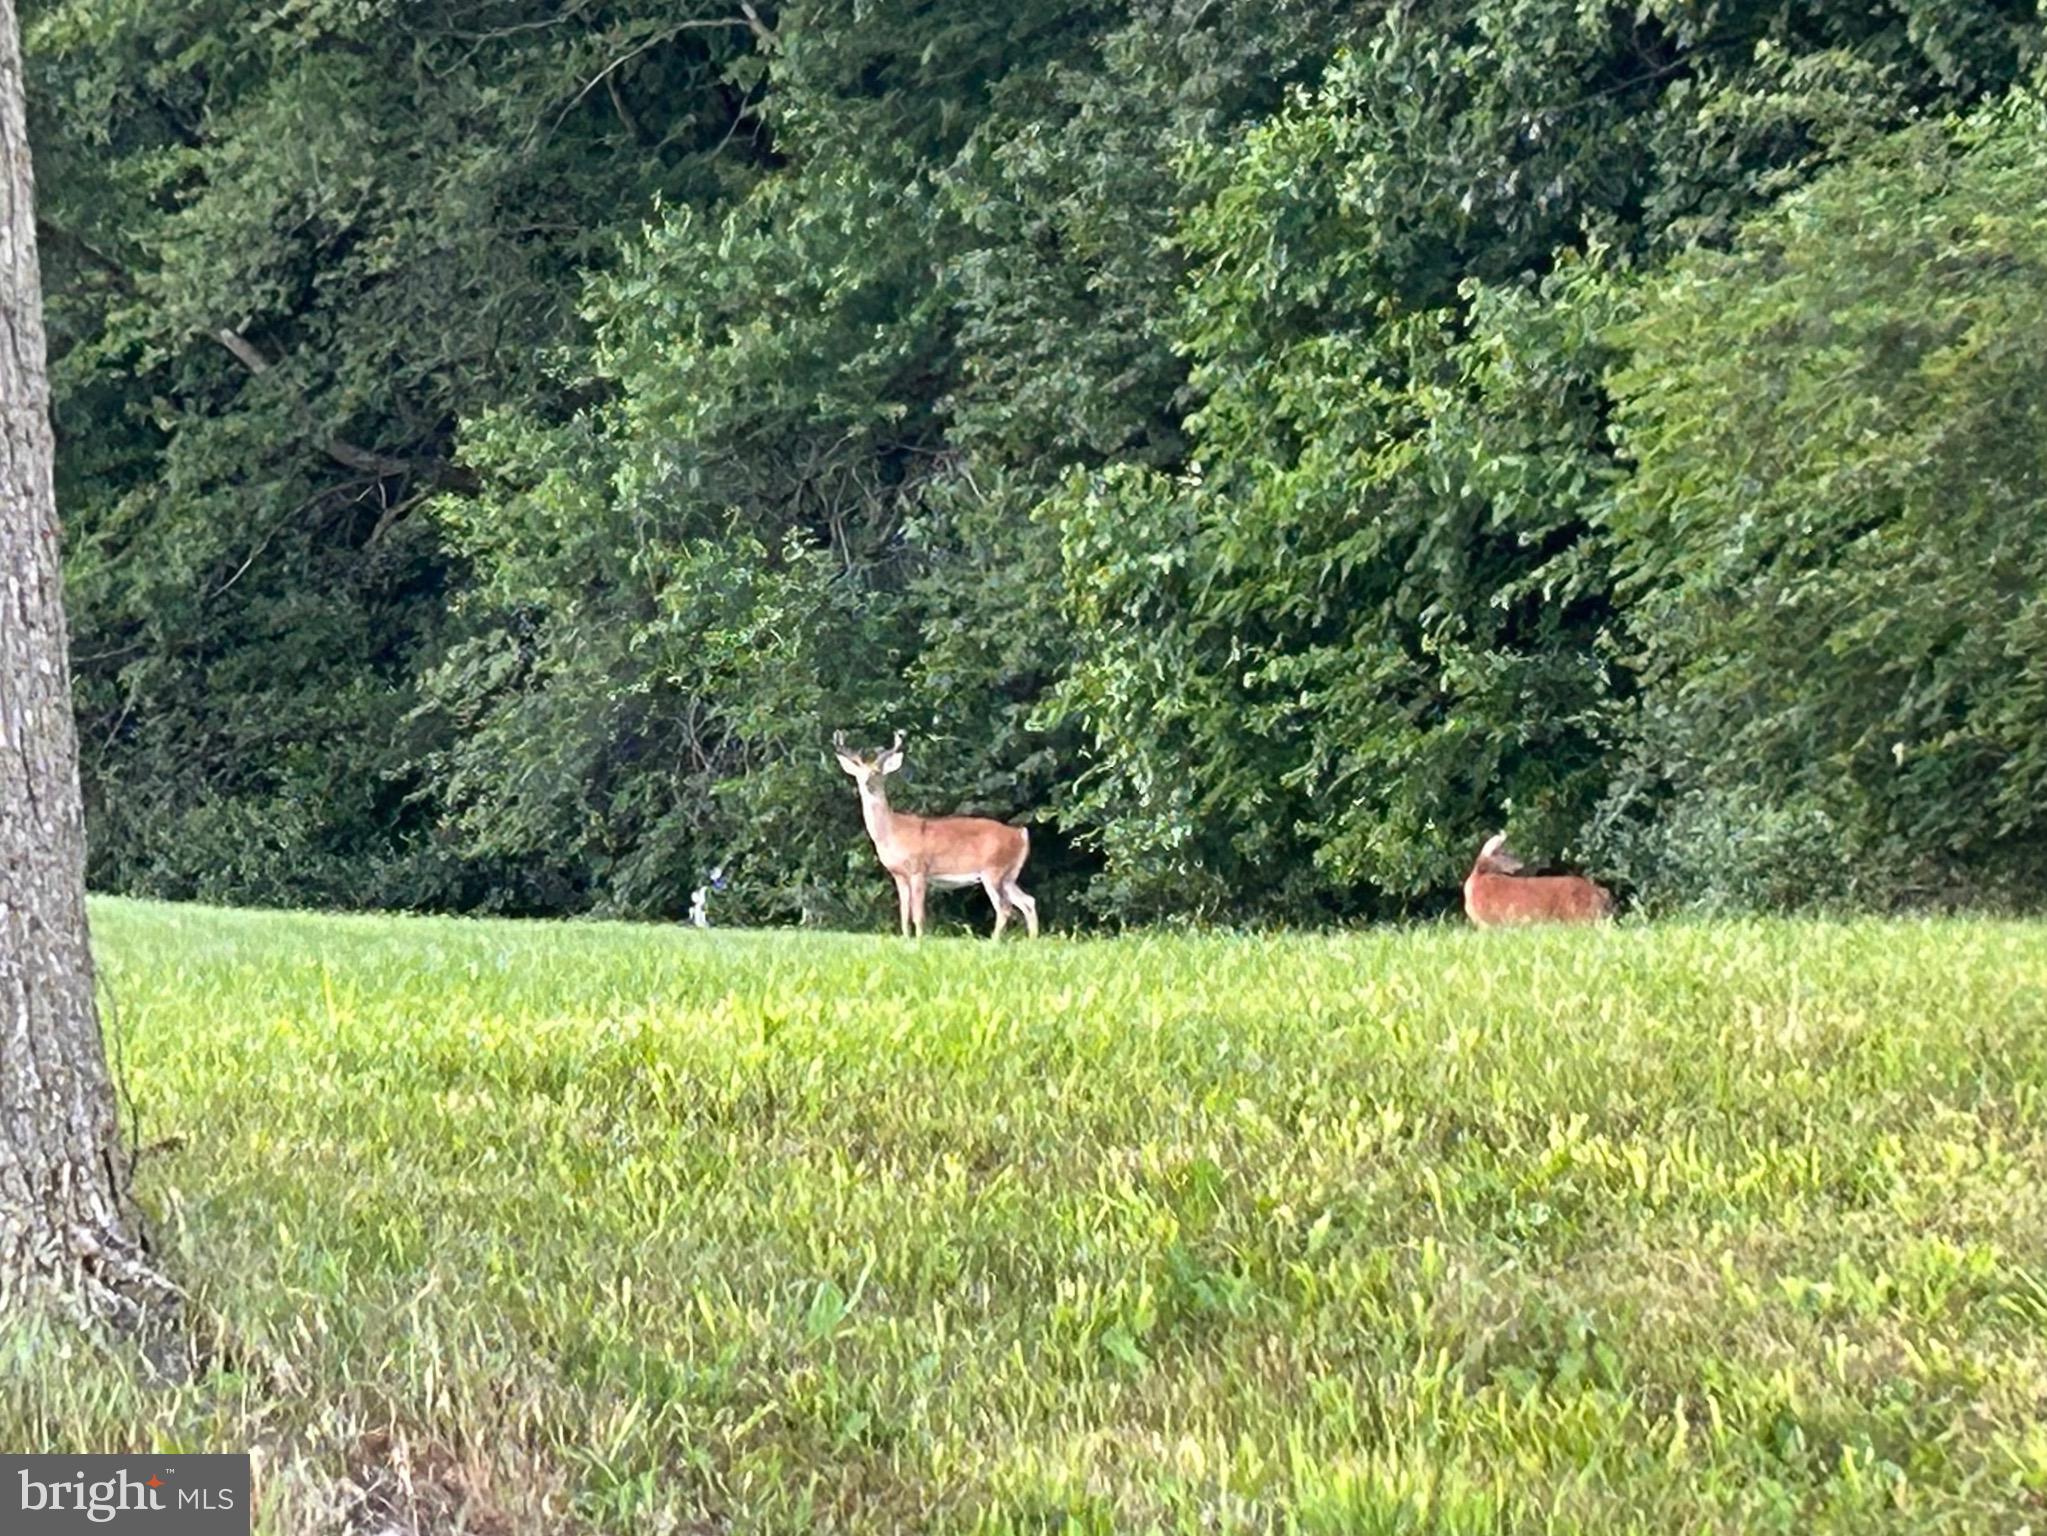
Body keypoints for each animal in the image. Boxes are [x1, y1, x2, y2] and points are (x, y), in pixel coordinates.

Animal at [833, 729, 1039, 939]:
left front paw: (919, 939)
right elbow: (903, 914)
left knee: (1005, 907)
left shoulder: (918, 869)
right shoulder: (898, 874)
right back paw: (1032, 939)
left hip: (993, 870)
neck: (892, 832)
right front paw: (906, 939)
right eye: (858, 773)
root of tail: (1020, 834)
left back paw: (994, 941)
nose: (867, 783)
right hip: (1008, 875)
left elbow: (917, 914)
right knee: (1028, 901)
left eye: (877, 772)